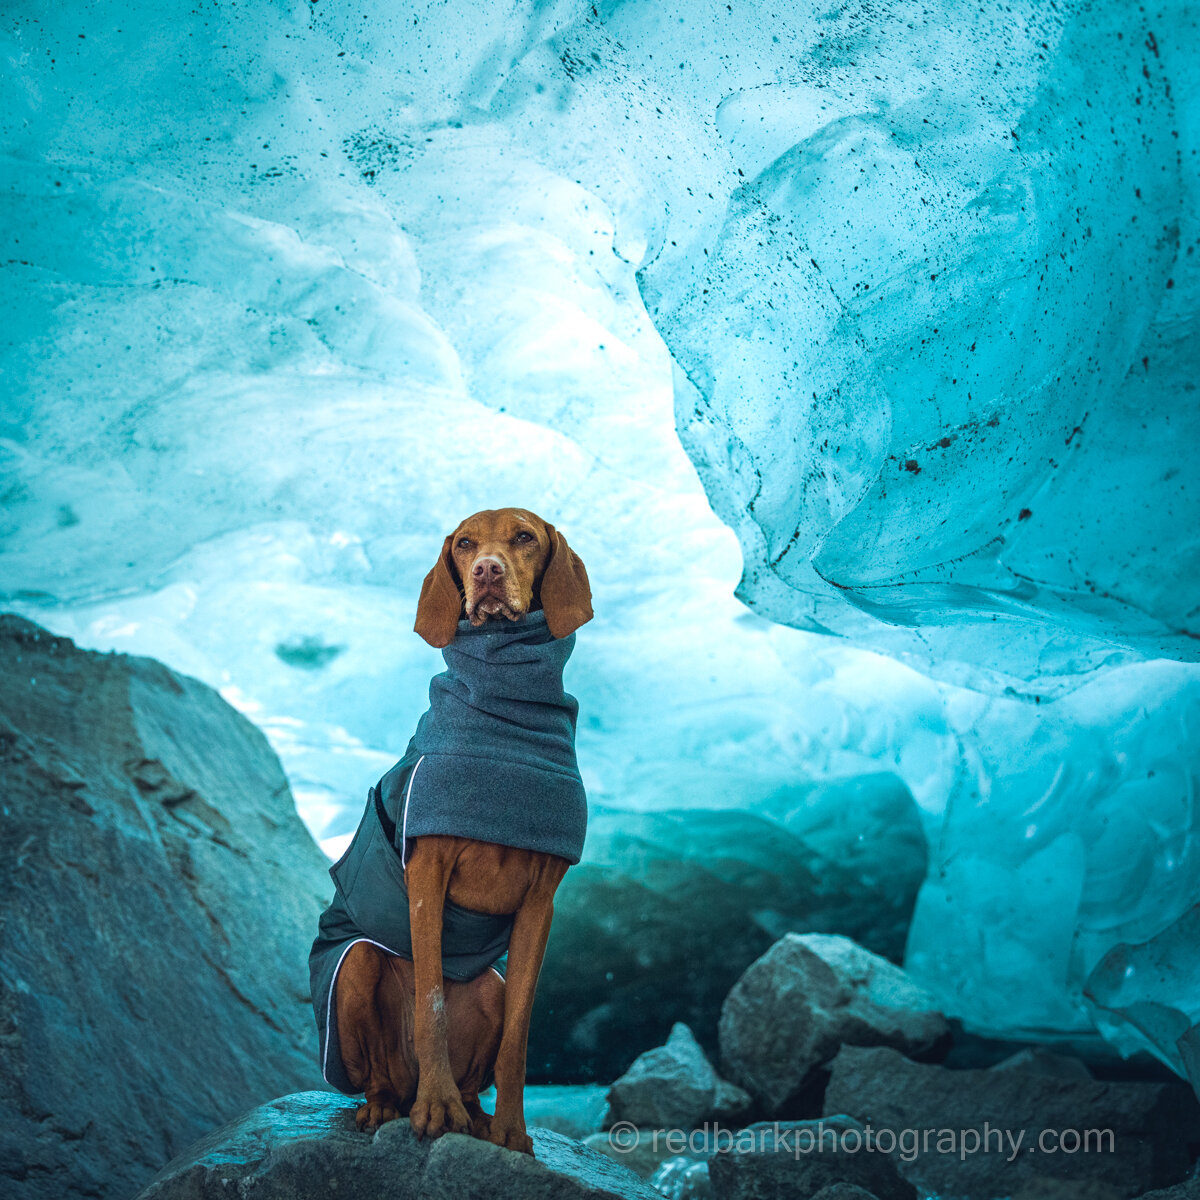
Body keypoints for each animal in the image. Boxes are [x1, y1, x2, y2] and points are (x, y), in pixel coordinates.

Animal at [326, 506, 592, 1152]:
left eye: (524, 536)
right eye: (466, 542)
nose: (486, 571)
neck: (504, 716)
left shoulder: (541, 903)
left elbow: (520, 1035)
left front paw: (513, 1131)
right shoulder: (427, 873)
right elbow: (432, 1003)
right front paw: (435, 1108)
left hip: (489, 987)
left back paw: (475, 1116)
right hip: (360, 970)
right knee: (379, 1075)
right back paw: (390, 1106)